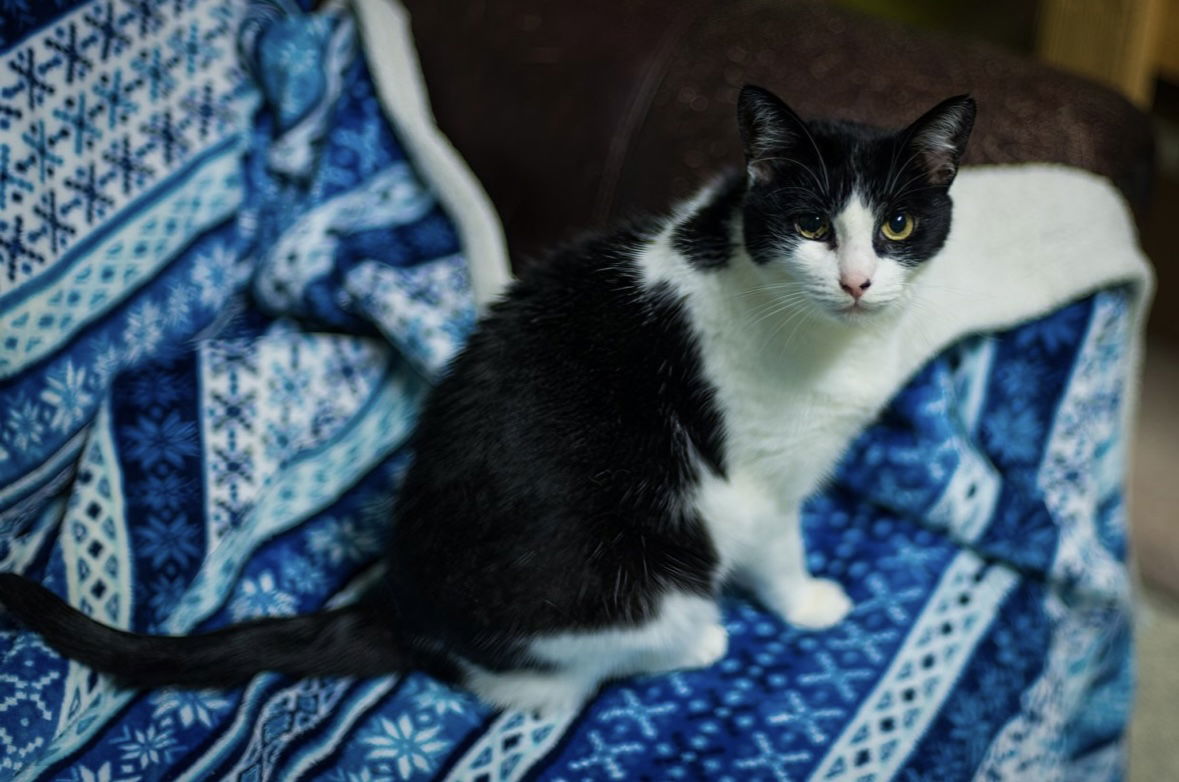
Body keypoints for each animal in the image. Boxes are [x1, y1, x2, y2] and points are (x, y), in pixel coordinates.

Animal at [0, 84, 976, 717]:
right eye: (810, 225)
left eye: (894, 225)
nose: (855, 282)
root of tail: (403, 608)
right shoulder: (752, 481)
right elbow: (778, 546)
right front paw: (809, 599)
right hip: (628, 573)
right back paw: (695, 638)